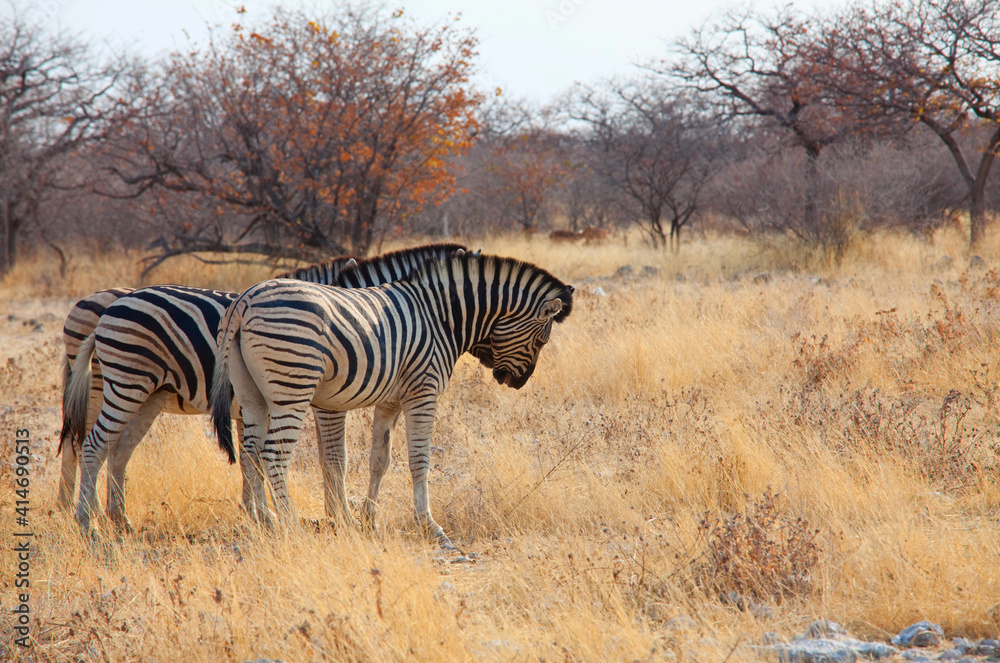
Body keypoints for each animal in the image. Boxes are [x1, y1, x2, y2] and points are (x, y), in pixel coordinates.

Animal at [66, 244, 468, 533]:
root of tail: (105, 304)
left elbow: (255, 459)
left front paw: (265, 514)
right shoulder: (324, 404)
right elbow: (331, 458)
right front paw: (336, 517)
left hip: (145, 394)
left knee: (109, 448)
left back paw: (109, 517)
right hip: (116, 384)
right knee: (87, 445)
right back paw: (84, 516)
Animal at [210, 253, 573, 549]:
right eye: (541, 341)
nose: (516, 382)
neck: (442, 317)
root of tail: (245, 299)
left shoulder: (391, 401)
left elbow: (379, 459)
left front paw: (368, 521)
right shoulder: (423, 392)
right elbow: (419, 460)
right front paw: (429, 527)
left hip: (252, 397)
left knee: (251, 454)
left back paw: (266, 526)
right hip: (292, 389)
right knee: (273, 456)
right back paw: (290, 529)